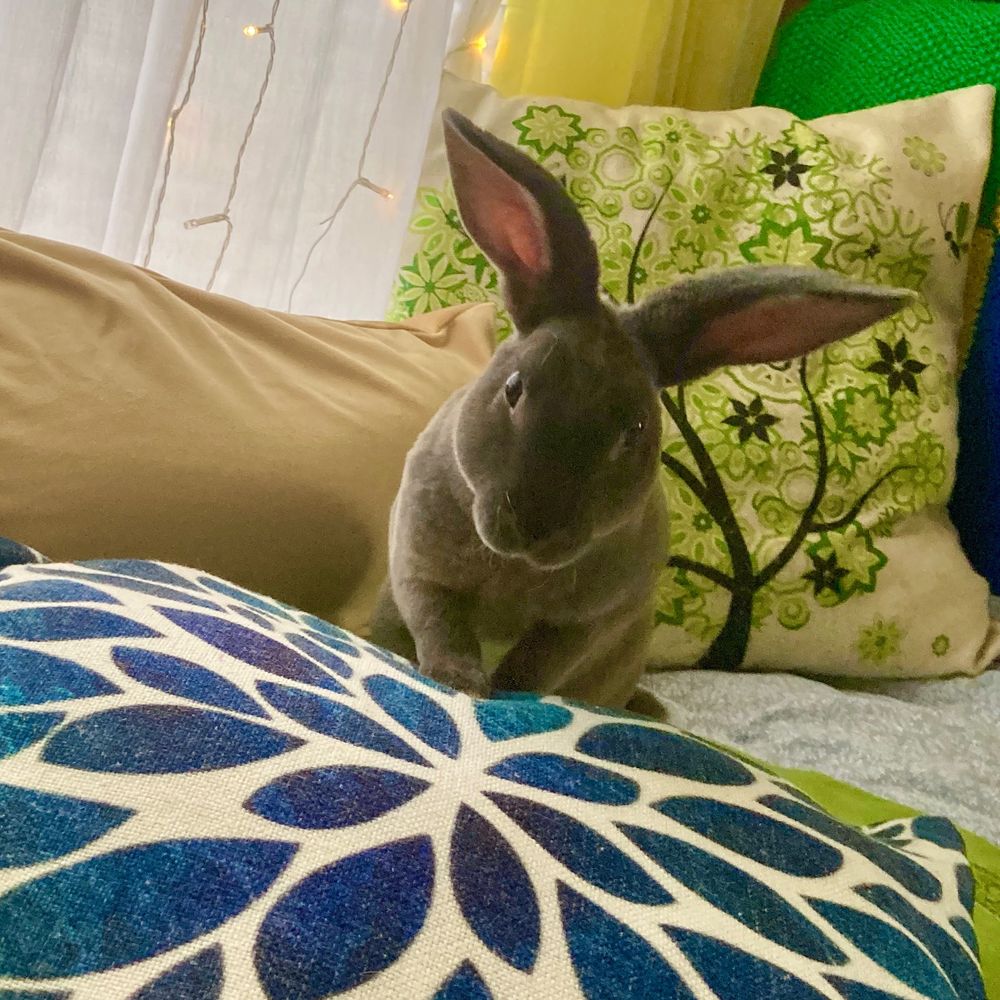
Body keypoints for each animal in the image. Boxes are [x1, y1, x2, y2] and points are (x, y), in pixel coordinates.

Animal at [369, 108, 914, 709]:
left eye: (634, 429)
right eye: (514, 388)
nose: (536, 525)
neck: (516, 570)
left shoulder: (593, 621)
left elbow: (536, 662)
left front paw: (505, 695)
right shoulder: (418, 567)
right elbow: (441, 625)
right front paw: (460, 682)